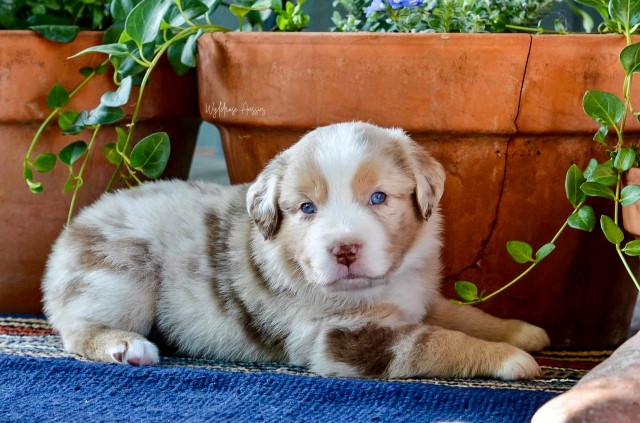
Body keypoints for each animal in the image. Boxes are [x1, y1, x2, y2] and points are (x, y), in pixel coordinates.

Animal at [41, 121, 552, 380]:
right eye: (307, 207)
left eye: (379, 198)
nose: (344, 249)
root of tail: (78, 221)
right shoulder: (344, 336)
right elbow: (435, 340)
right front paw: (511, 359)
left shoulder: (417, 297)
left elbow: (461, 315)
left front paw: (520, 331)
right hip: (121, 272)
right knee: (77, 328)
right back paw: (125, 345)